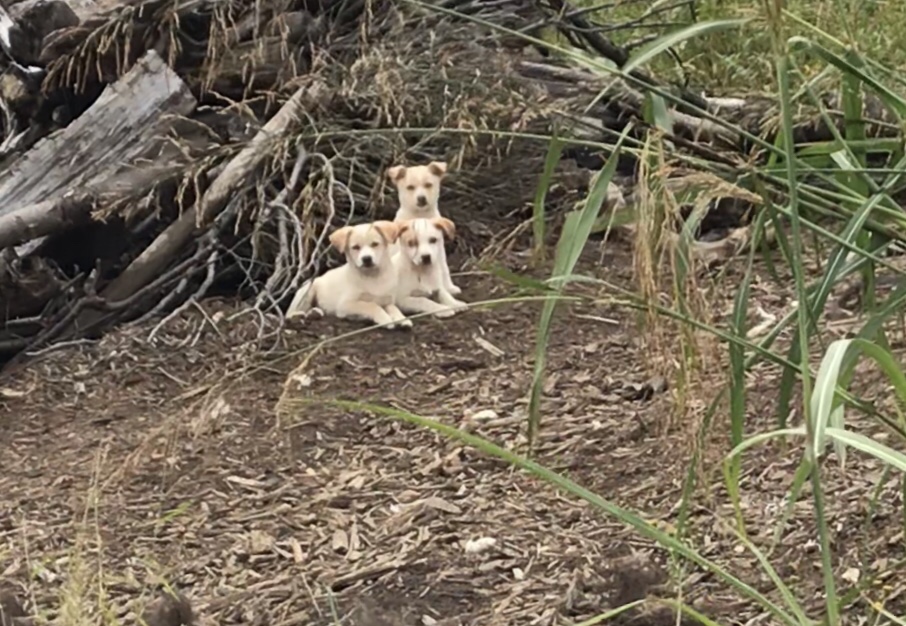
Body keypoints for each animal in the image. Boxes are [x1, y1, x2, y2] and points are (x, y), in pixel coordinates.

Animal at [284, 219, 412, 326]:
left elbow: (393, 308)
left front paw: (402, 319)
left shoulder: (387, 300)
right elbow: (371, 305)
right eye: (355, 247)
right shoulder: (345, 305)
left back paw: (314, 313)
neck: (373, 277)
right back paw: (298, 315)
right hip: (306, 292)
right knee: (289, 314)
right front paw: (385, 319)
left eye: (375, 244)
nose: (366, 259)